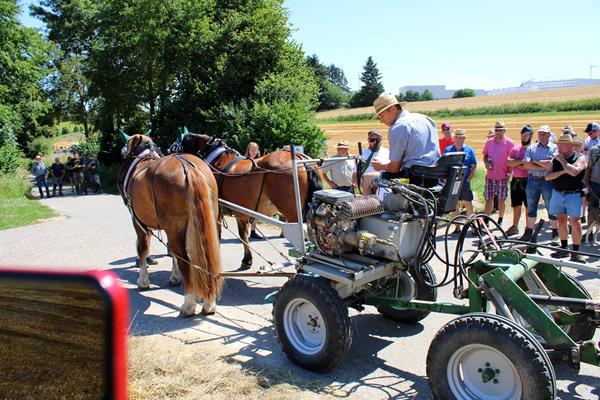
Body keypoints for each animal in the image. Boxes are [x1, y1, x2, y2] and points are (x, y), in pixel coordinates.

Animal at [117, 134, 223, 316]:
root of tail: (190, 169)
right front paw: (174, 277)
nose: (122, 151)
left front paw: (143, 280)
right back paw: (209, 304)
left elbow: (143, 248)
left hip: (174, 227)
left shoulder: (138, 222)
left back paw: (188, 305)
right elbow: (171, 252)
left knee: (185, 259)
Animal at [177, 134, 322, 268]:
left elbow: (221, 234)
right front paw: (248, 259)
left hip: (293, 216)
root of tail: (301, 159)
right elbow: (243, 234)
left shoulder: (217, 211)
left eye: (177, 146)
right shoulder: (241, 212)